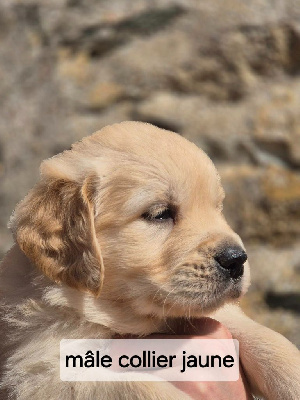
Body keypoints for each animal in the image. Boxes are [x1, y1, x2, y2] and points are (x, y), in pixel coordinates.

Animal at [0, 120, 298, 398]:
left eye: (217, 209)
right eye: (160, 214)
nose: (237, 259)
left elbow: (262, 336)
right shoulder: (43, 371)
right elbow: (137, 386)